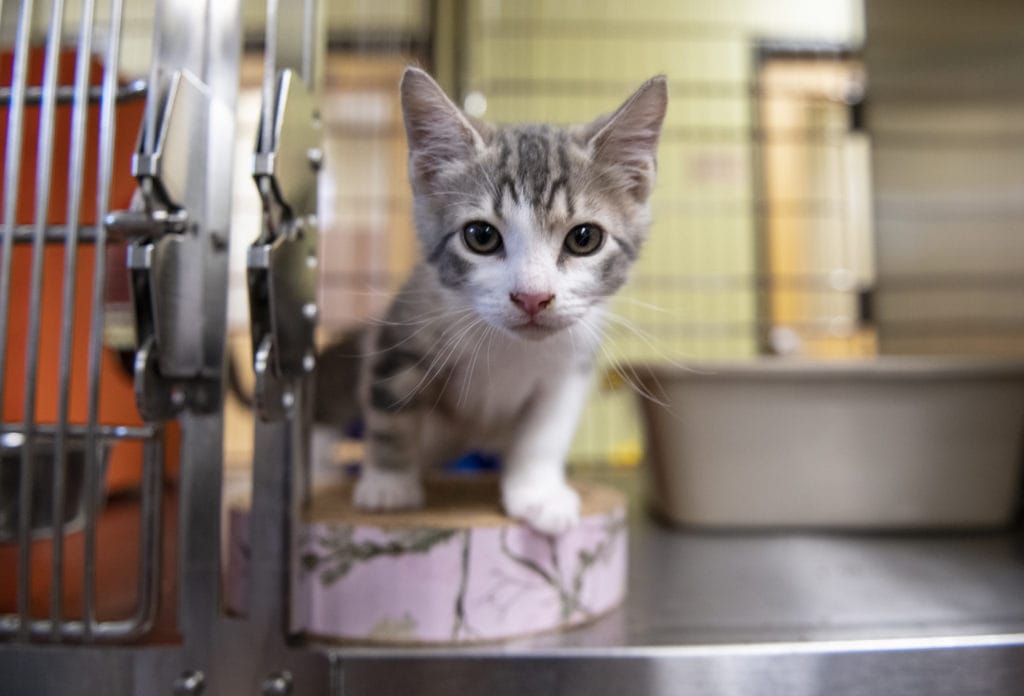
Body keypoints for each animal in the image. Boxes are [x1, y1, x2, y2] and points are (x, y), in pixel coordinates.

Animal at [319, 68, 671, 536]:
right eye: (481, 236)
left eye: (584, 238)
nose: (532, 297)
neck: (510, 347)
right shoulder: (403, 328)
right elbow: (389, 405)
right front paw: (387, 484)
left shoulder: (571, 362)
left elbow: (546, 431)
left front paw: (539, 493)